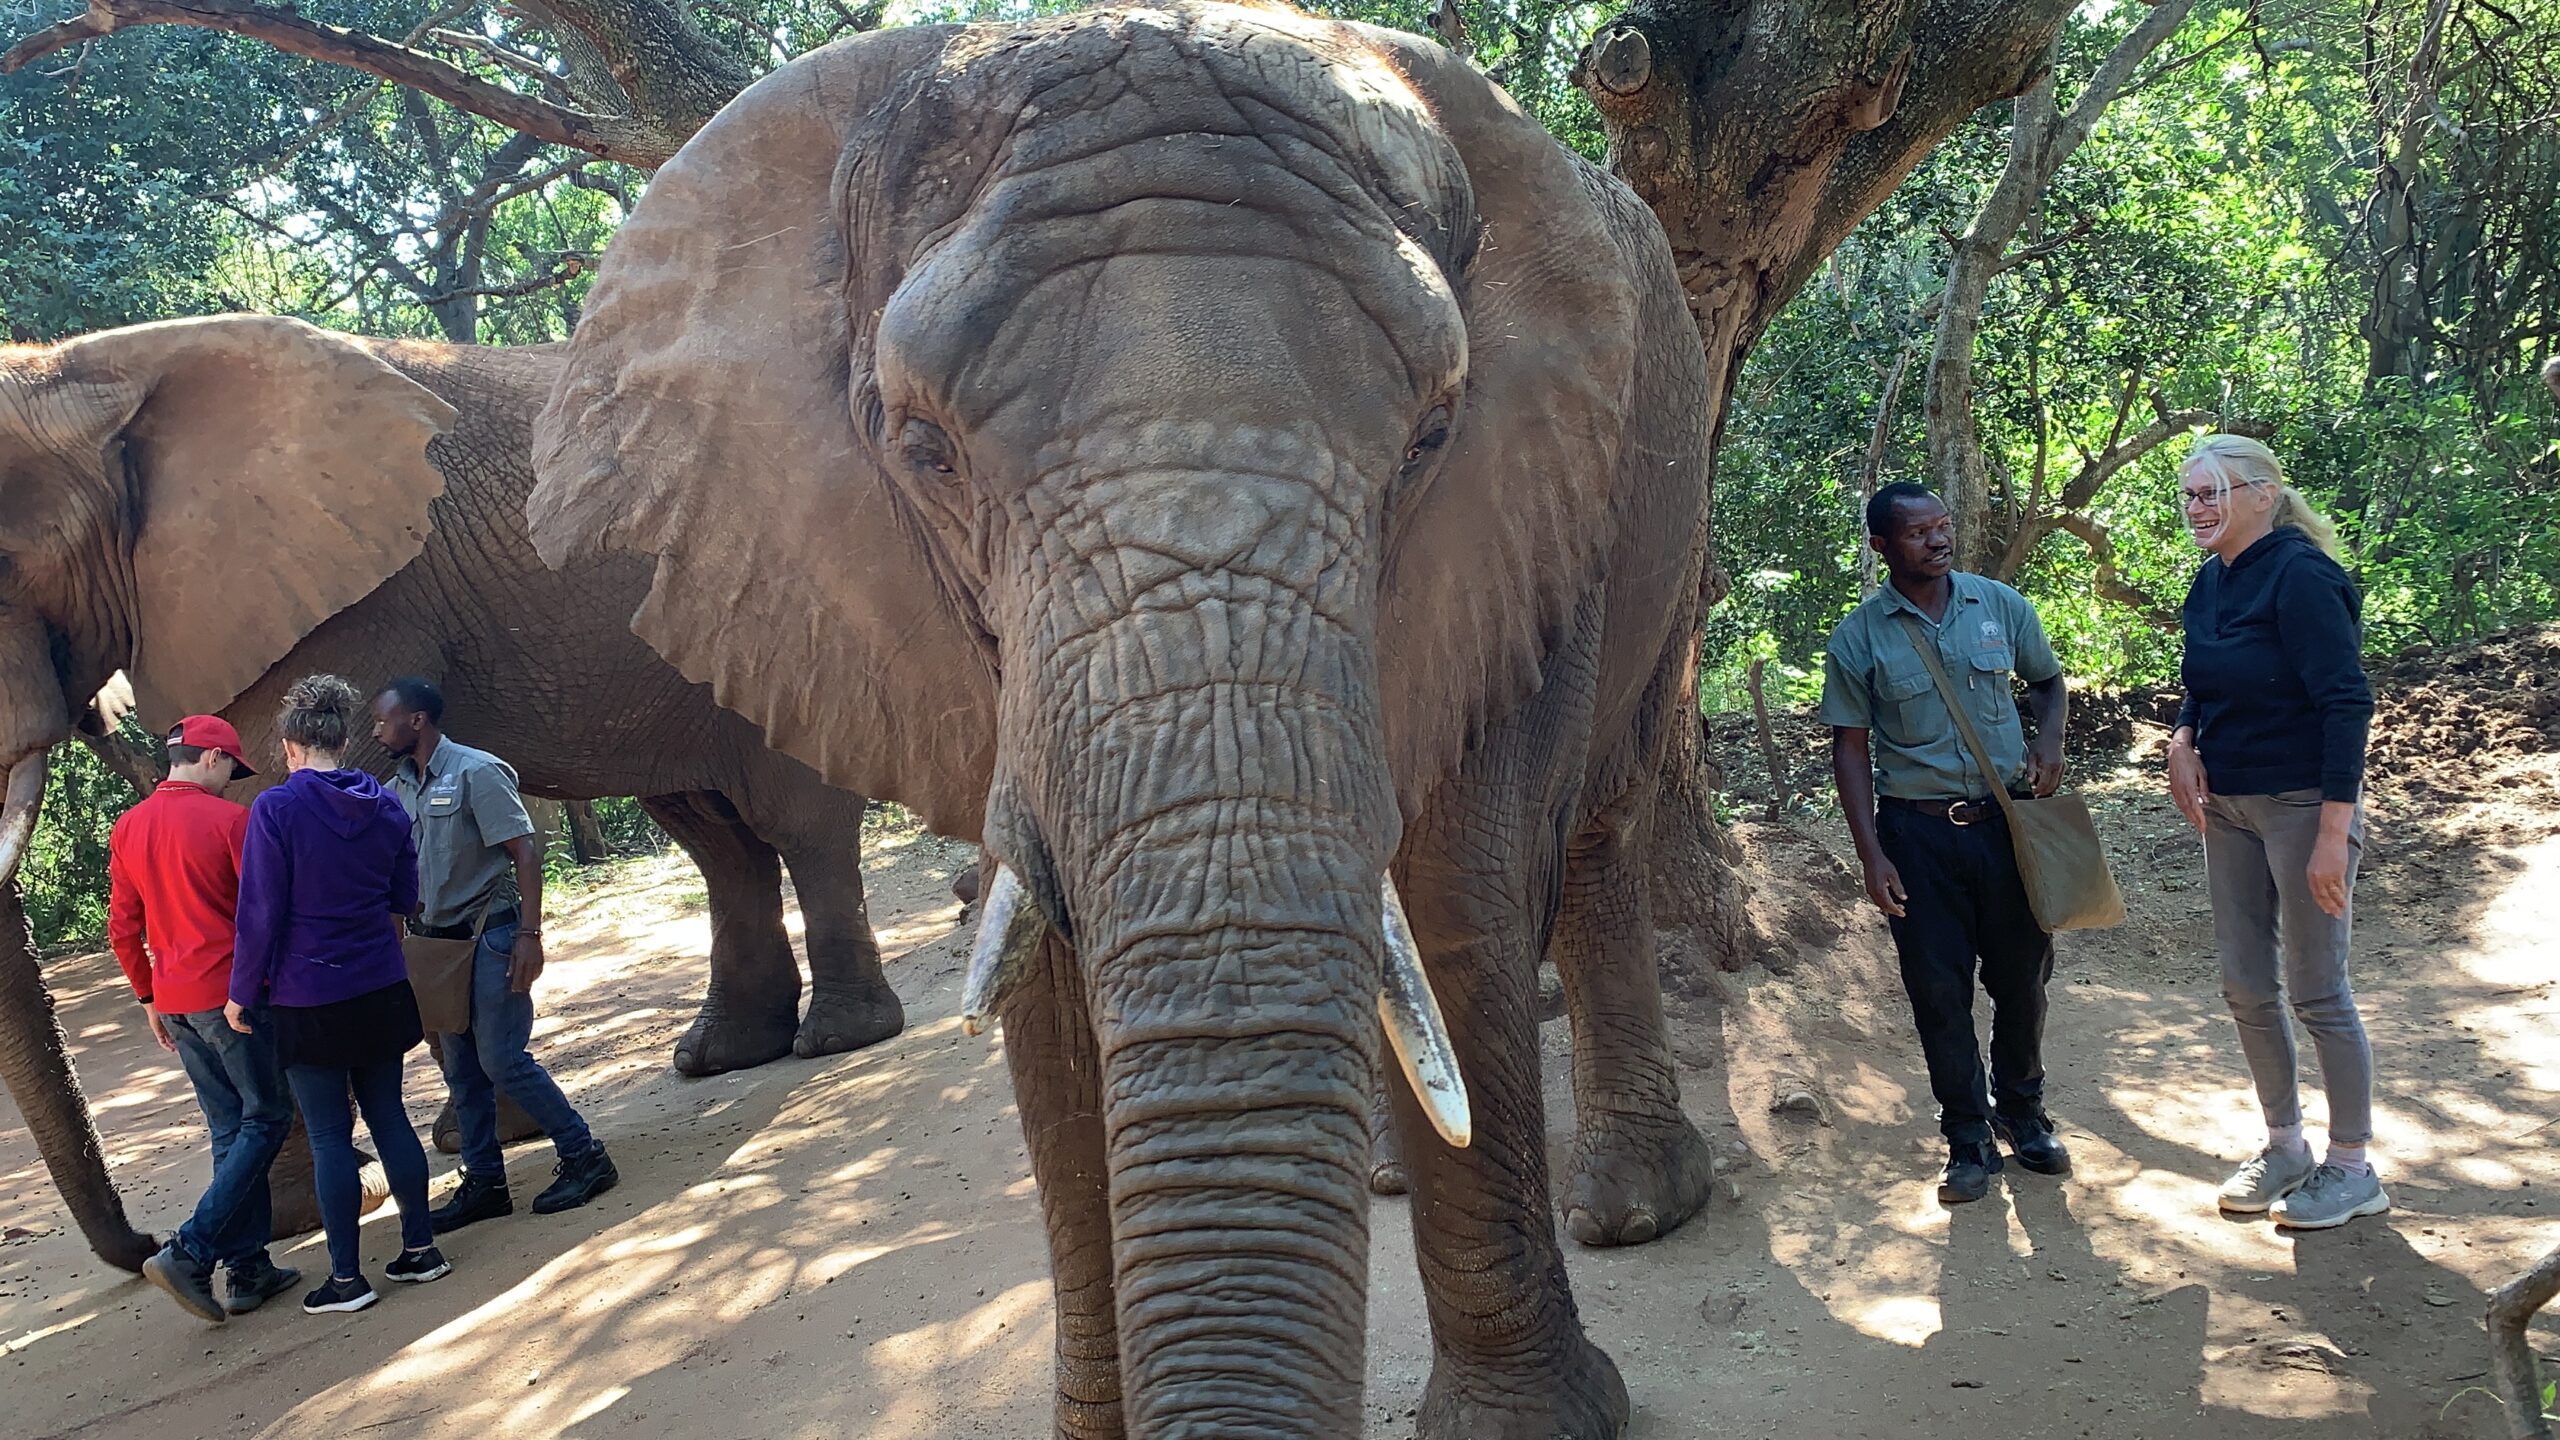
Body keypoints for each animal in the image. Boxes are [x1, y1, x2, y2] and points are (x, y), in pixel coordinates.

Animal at [0, 316, 916, 1265]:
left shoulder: (346, 606)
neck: (87, 365)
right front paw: (467, 1141)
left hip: (797, 604)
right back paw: (722, 1055)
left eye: (4, 566)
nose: (144, 1245)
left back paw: (836, 1037)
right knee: (715, 836)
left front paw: (325, 1202)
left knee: (794, 818)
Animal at [532, 5, 1720, 1424]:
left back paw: (1634, 1205)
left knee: (1599, 826)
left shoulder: (1530, 515)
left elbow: (1461, 901)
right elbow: (1043, 980)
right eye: (921, 451)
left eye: (1434, 435)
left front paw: (1531, 1428)